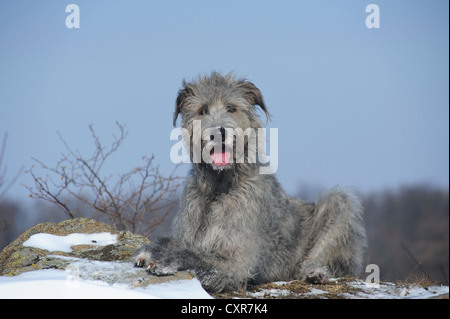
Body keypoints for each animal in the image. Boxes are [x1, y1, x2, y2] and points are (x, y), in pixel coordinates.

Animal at [135, 72, 368, 292]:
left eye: (231, 108)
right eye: (203, 110)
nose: (218, 133)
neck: (220, 186)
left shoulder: (237, 263)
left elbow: (196, 255)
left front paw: (166, 258)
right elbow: (179, 242)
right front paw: (152, 248)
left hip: (339, 204)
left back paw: (316, 272)